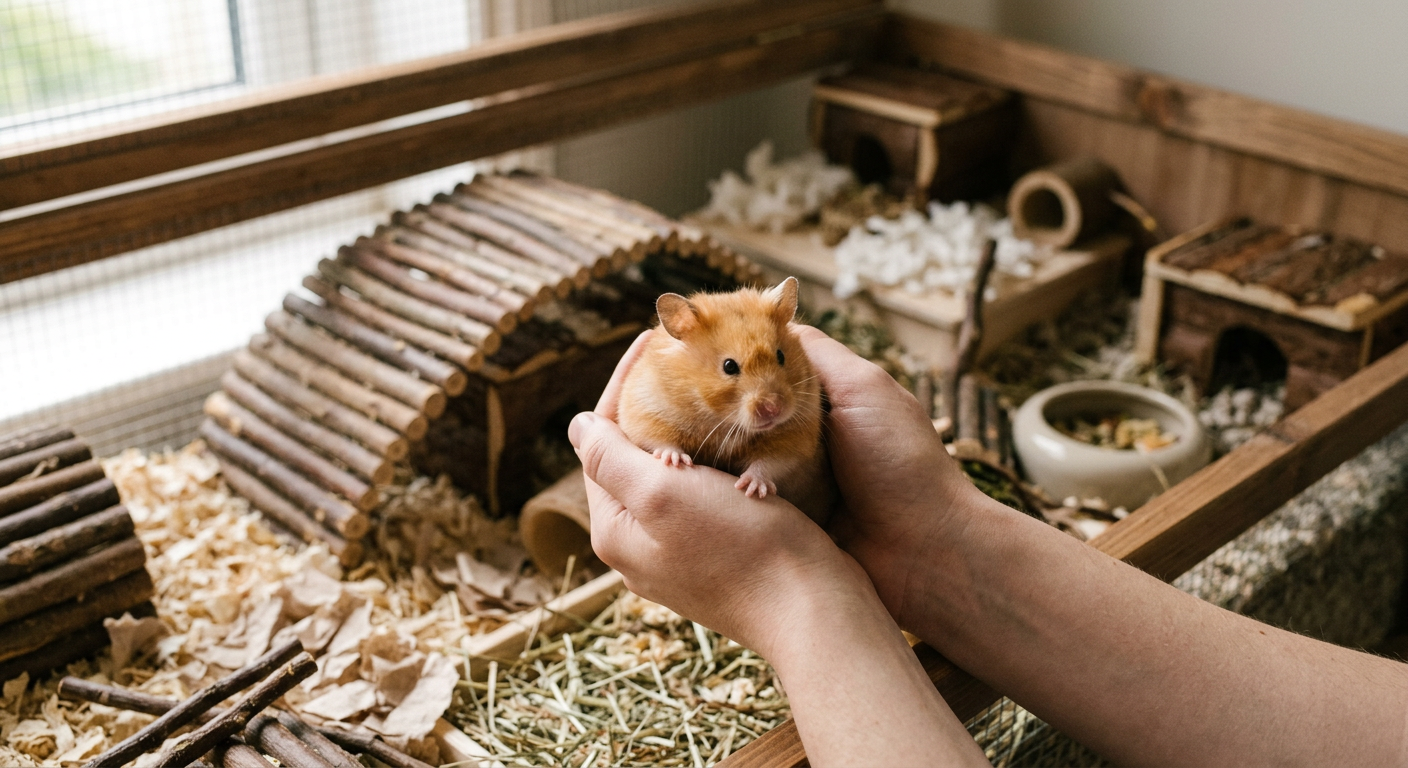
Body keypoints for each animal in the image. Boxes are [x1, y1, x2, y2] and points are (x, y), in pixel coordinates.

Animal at [617, 276, 834, 524]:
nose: (774, 408)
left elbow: (772, 462)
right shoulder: (643, 409)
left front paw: (753, 488)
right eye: (729, 366)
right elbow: (655, 438)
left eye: (781, 356)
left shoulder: (797, 437)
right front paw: (676, 460)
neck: (723, 422)